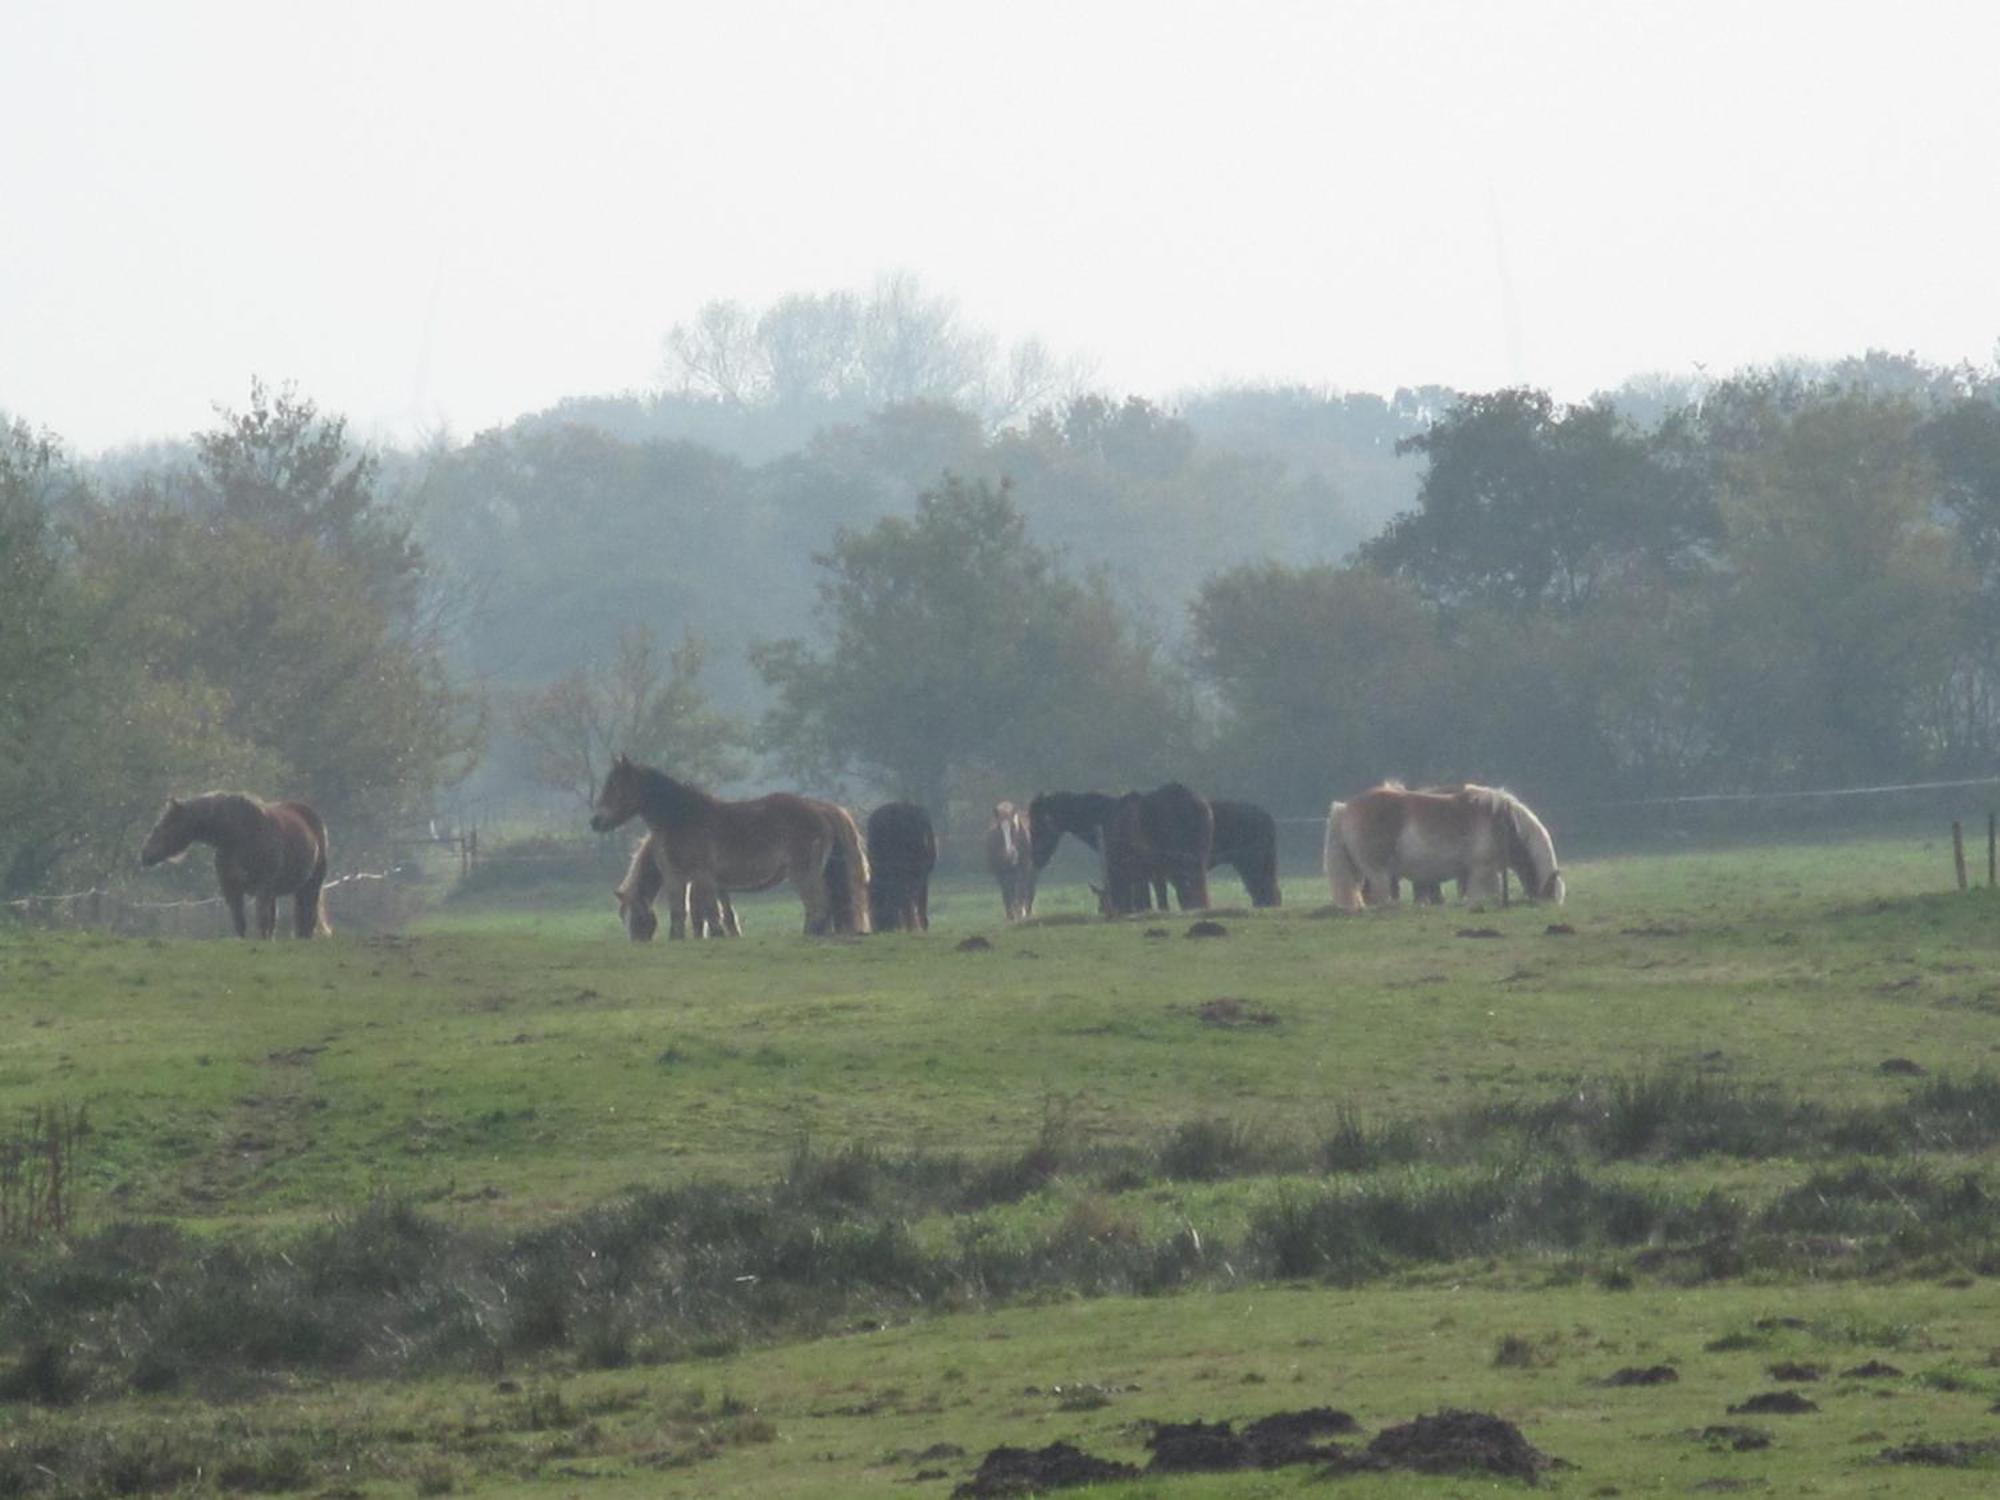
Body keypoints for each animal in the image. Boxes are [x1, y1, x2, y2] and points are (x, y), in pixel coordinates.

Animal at [139, 792, 332, 936]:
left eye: (164, 825)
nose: (145, 854)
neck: (238, 835)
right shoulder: (231, 889)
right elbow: (240, 923)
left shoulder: (263, 888)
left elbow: (261, 920)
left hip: (311, 886)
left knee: (307, 919)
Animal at [592, 764, 876, 940]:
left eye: (614, 787)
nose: (595, 822)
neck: (681, 819)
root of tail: (821, 809)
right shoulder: (702, 881)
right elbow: (709, 914)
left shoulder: (692, 878)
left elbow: (699, 913)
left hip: (803, 874)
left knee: (818, 906)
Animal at [1328, 780, 1560, 912]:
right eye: (1548, 897)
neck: (1503, 820)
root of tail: (1345, 807)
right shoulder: (1482, 871)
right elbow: (1481, 895)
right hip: (1378, 873)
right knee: (1380, 895)